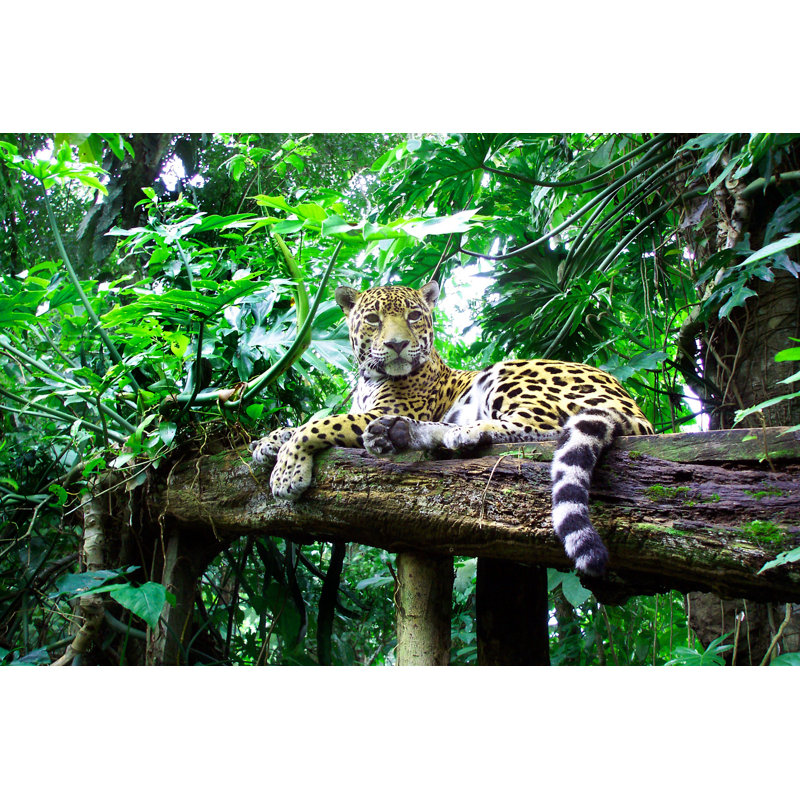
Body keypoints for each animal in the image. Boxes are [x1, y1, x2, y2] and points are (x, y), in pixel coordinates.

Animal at [251, 280, 654, 575]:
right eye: (373, 320)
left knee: (544, 425)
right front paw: (266, 443)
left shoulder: (376, 411)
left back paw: (449, 432)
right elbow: (302, 422)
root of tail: (633, 406)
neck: (368, 380)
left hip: (513, 372)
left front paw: (286, 473)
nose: (397, 344)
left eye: (414, 316)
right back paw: (399, 433)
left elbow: (319, 424)